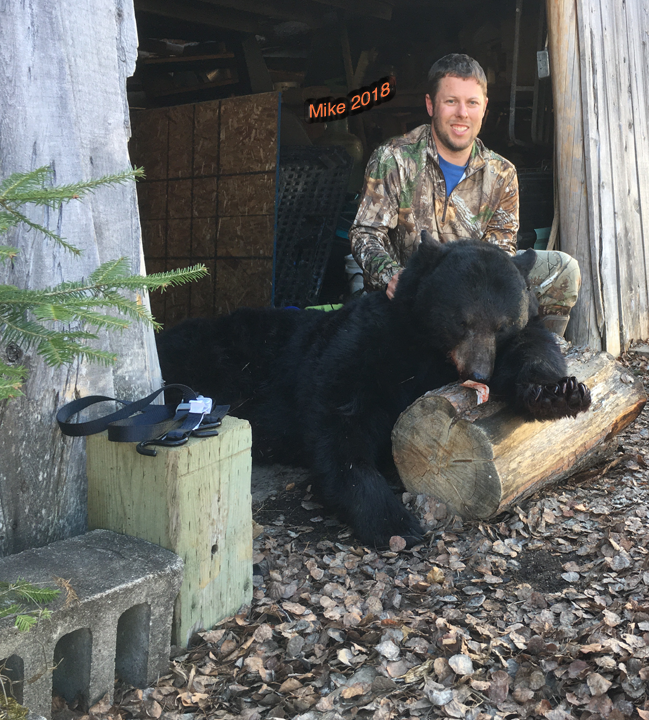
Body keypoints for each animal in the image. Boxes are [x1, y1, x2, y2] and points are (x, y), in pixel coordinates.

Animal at [156, 236, 588, 544]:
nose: (479, 370)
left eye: (501, 325)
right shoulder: (369, 346)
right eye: (462, 321)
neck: (429, 350)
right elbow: (340, 420)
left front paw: (558, 393)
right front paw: (394, 521)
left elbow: (535, 347)